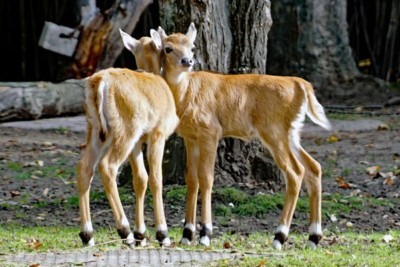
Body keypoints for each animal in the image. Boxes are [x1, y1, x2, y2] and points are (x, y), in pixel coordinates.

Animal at [77, 30, 177, 248]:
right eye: (167, 48)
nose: (187, 60)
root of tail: (100, 82)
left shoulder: (138, 142)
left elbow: (140, 178)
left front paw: (142, 234)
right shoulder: (157, 134)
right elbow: (156, 178)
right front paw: (162, 234)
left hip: (95, 130)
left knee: (85, 168)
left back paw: (88, 234)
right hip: (125, 131)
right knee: (107, 166)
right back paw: (125, 231)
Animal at [153, 25, 332, 251]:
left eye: (192, 47)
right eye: (168, 48)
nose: (187, 61)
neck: (185, 94)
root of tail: (300, 84)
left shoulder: (211, 131)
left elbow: (206, 178)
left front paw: (205, 234)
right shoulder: (190, 137)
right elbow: (191, 179)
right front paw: (187, 234)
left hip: (274, 132)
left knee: (295, 172)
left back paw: (279, 237)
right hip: (292, 133)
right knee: (313, 167)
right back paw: (313, 237)